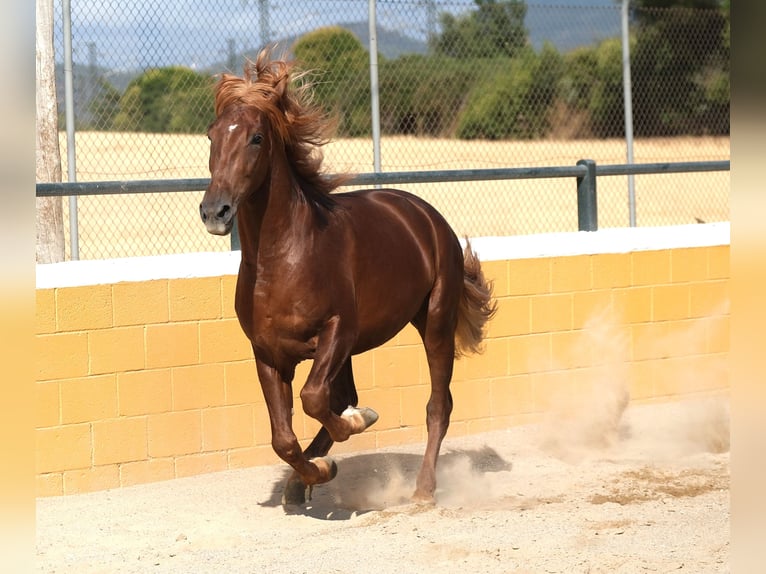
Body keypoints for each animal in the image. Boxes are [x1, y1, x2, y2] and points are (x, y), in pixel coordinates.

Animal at [200, 49, 497, 507]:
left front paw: (358, 425)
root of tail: (427, 216)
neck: (283, 259)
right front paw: (314, 473)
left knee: (438, 405)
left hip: (435, 322)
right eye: (212, 136)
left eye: (256, 138)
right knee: (342, 399)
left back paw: (424, 489)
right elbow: (284, 436)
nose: (215, 211)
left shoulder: (339, 330)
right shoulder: (268, 353)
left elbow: (314, 400)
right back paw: (302, 480)